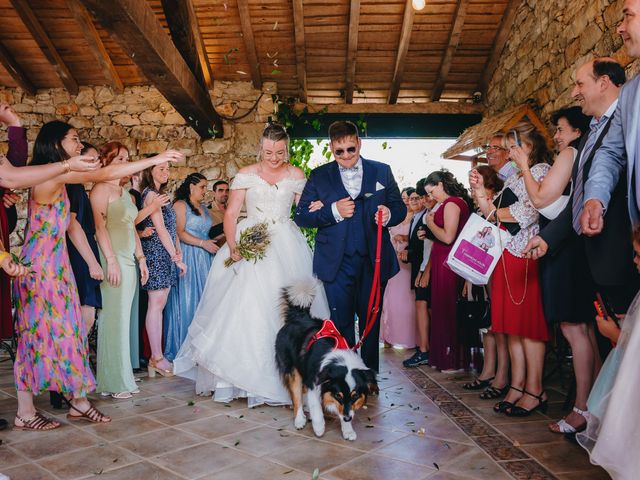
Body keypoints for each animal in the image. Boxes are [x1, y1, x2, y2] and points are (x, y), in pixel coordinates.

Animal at [274, 280, 376, 440]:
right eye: (338, 395)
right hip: (293, 370)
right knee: (296, 395)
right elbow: (316, 407)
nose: (348, 418)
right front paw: (319, 427)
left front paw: (347, 430)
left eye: (355, 396)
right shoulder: (314, 381)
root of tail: (298, 316)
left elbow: (341, 409)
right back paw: (300, 419)